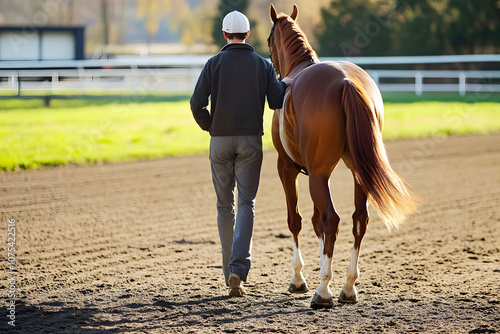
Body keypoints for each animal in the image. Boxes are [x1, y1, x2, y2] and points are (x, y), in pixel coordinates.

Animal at [270, 4, 418, 308]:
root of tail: (346, 82)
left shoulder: (288, 168)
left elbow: (297, 220)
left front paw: (299, 278)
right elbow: (316, 222)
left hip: (316, 175)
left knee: (333, 219)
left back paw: (323, 291)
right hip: (357, 171)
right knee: (359, 220)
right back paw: (348, 286)